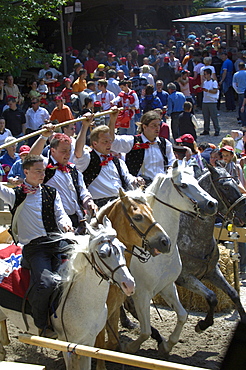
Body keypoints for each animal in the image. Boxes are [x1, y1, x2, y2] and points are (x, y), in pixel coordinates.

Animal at [92, 189, 171, 368]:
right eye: (138, 217)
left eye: (151, 212)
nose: (166, 242)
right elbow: (98, 344)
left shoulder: (113, 309)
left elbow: (111, 341)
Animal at [123, 160, 217, 356]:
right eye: (183, 185)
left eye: (196, 182)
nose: (212, 204)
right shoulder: (141, 293)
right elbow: (145, 331)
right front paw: (130, 347)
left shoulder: (167, 286)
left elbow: (182, 315)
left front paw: (167, 345)